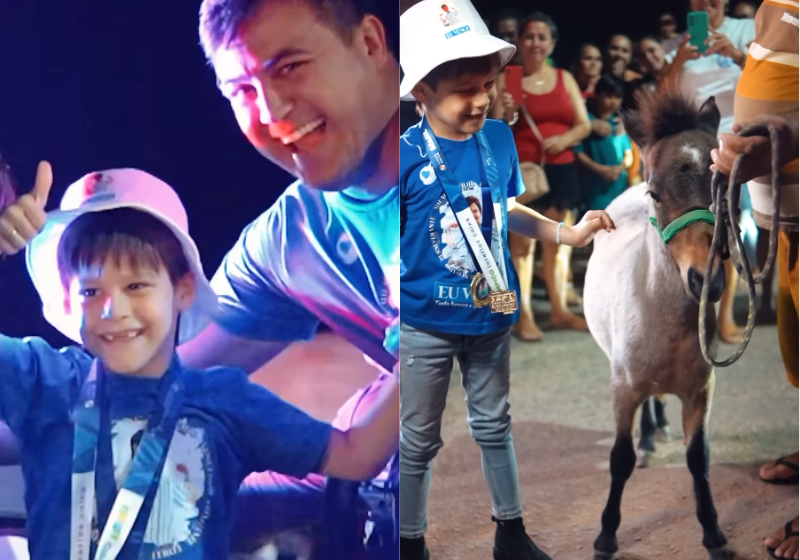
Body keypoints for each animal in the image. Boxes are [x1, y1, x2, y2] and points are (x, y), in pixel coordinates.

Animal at [584, 92, 736, 560]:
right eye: (655, 191)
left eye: (723, 184)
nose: (707, 280)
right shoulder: (623, 389)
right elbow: (620, 460)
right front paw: (606, 537)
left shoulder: (700, 392)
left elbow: (698, 459)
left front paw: (714, 535)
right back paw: (650, 438)